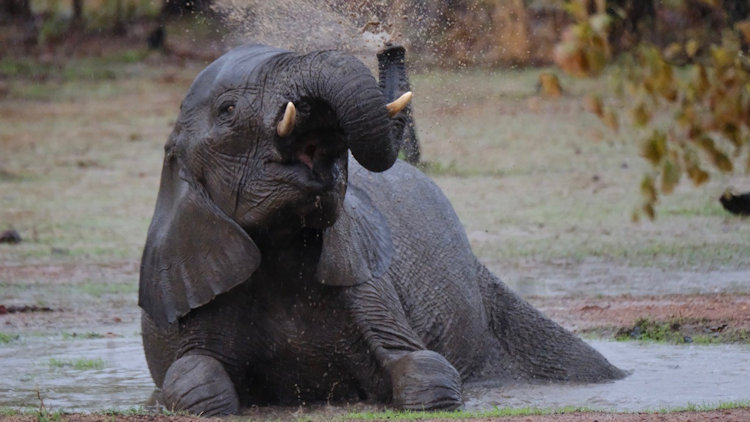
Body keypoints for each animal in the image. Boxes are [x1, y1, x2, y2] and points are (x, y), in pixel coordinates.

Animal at [139, 43, 625, 416]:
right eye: (227, 110)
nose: (390, 50)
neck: (282, 245)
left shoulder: (364, 276)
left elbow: (427, 373)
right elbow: (194, 384)